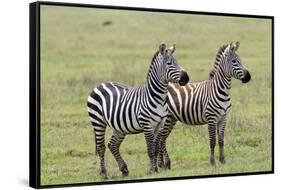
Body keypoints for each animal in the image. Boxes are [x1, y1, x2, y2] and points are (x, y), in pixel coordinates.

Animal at [87, 43, 188, 178]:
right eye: (169, 63)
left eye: (177, 62)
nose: (186, 78)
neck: (159, 98)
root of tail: (100, 84)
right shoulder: (147, 125)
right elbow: (150, 149)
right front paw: (151, 170)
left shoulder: (160, 124)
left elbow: (156, 148)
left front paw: (156, 169)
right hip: (97, 121)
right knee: (101, 147)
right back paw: (103, 174)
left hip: (119, 127)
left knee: (112, 145)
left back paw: (124, 169)